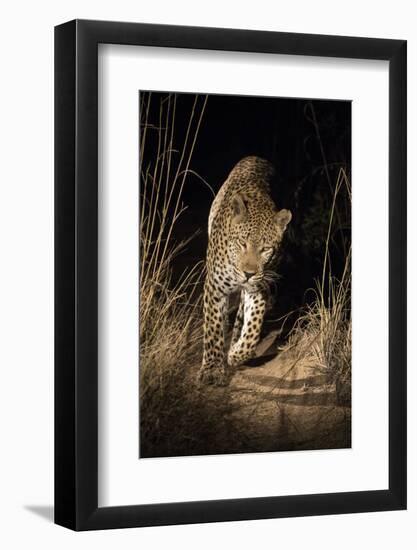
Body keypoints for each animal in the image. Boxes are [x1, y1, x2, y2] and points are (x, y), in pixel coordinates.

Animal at [197, 156, 290, 388]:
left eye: (266, 249)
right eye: (242, 243)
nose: (248, 273)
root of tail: (258, 157)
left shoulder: (259, 288)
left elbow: (253, 329)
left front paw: (236, 354)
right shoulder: (214, 287)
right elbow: (213, 327)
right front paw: (212, 369)